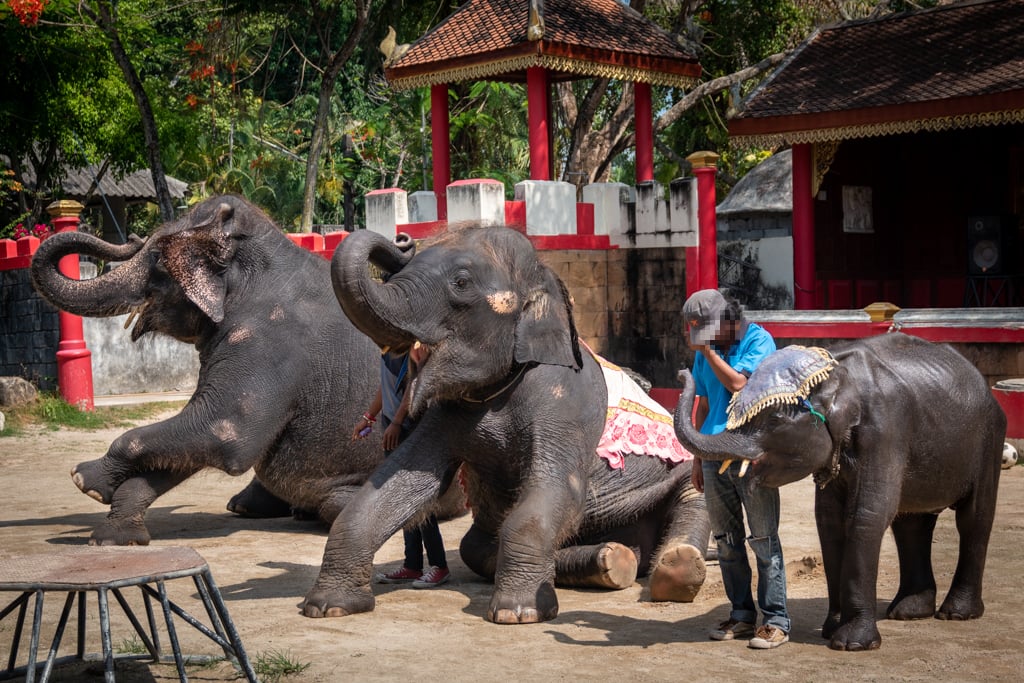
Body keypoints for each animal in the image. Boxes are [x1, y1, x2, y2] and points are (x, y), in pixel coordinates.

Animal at [29, 196, 393, 544]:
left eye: (158, 257)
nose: (132, 238)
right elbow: (193, 439)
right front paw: (114, 537)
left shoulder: (269, 343)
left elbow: (221, 430)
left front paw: (83, 479)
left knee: (334, 504)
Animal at [299, 224, 708, 626]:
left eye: (461, 282)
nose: (402, 239)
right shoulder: (446, 414)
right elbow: (401, 481)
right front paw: (328, 606)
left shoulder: (565, 402)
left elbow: (558, 488)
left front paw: (518, 613)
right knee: (475, 546)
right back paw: (610, 560)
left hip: (679, 475)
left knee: (693, 497)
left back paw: (675, 570)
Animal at [675, 335, 1003, 651]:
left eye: (774, 421)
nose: (681, 372)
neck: (835, 378)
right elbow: (829, 521)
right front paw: (831, 630)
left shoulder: (885, 432)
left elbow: (867, 516)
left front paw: (851, 643)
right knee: (911, 523)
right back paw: (908, 612)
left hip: (990, 440)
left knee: (974, 519)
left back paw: (956, 613)